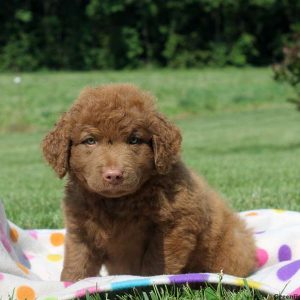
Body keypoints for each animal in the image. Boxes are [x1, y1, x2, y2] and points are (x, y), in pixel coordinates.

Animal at [42, 84, 256, 282]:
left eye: (134, 140)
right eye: (90, 141)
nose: (114, 175)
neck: (117, 203)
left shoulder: (175, 225)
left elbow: (157, 263)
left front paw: (153, 282)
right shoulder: (80, 230)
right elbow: (77, 261)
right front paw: (69, 284)